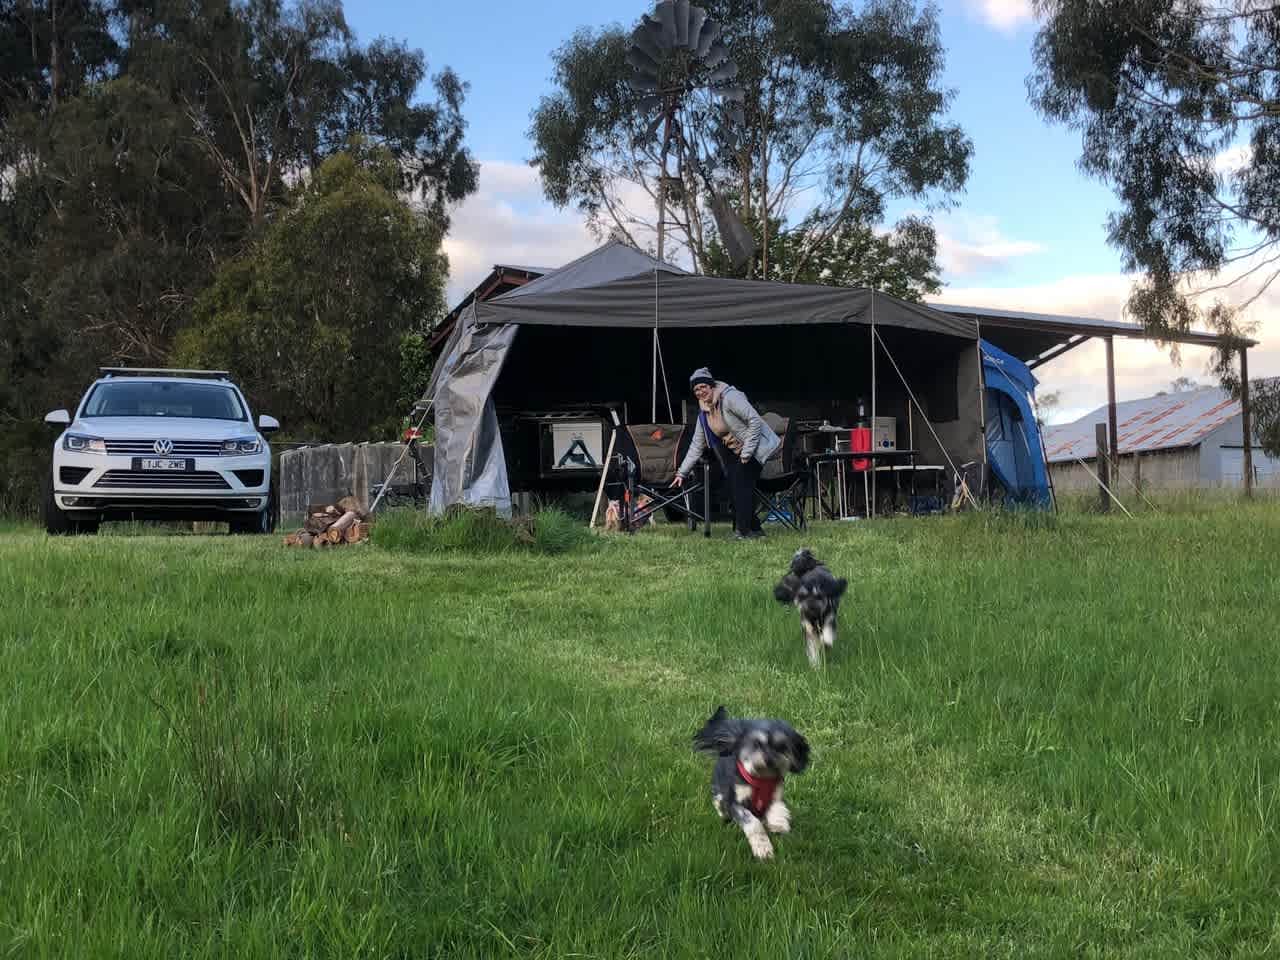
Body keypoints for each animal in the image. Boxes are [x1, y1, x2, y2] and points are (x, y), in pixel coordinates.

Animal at [696, 706, 803, 865]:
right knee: (718, 800)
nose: (769, 760)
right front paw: (763, 850)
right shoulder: (736, 802)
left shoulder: (776, 795)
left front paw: (778, 823)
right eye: (757, 744)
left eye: (781, 747)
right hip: (720, 787)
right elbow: (753, 823)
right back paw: (722, 813)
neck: (762, 779)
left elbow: (778, 808)